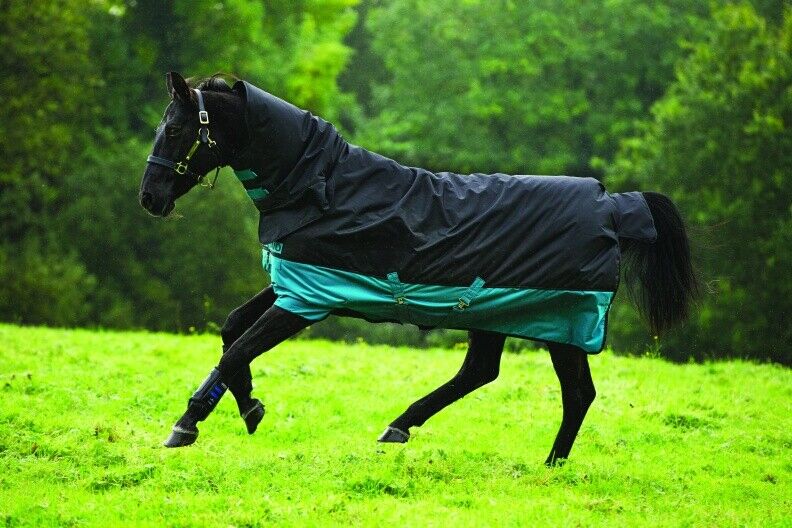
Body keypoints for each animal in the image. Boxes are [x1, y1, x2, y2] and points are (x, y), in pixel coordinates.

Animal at [140, 72, 697, 465]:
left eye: (175, 129)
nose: (150, 198)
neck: (324, 187)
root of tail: (612, 205)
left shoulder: (308, 300)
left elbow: (237, 349)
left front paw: (189, 425)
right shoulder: (294, 282)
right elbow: (231, 329)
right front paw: (244, 408)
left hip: (564, 323)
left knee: (576, 393)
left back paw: (549, 465)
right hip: (495, 316)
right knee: (482, 372)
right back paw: (402, 426)